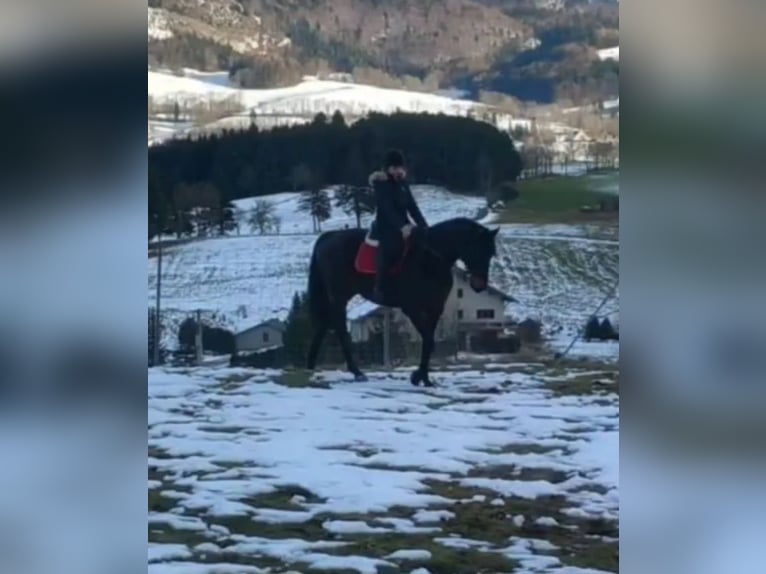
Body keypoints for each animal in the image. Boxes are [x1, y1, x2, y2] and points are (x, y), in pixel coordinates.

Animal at [306, 218, 504, 390]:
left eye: (491, 253)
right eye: (478, 249)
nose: (479, 285)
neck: (429, 259)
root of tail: (329, 236)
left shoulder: (435, 308)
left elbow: (429, 341)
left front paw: (423, 378)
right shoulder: (412, 308)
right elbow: (428, 340)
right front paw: (418, 376)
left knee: (323, 325)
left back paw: (310, 367)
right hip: (339, 295)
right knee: (339, 328)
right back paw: (356, 372)